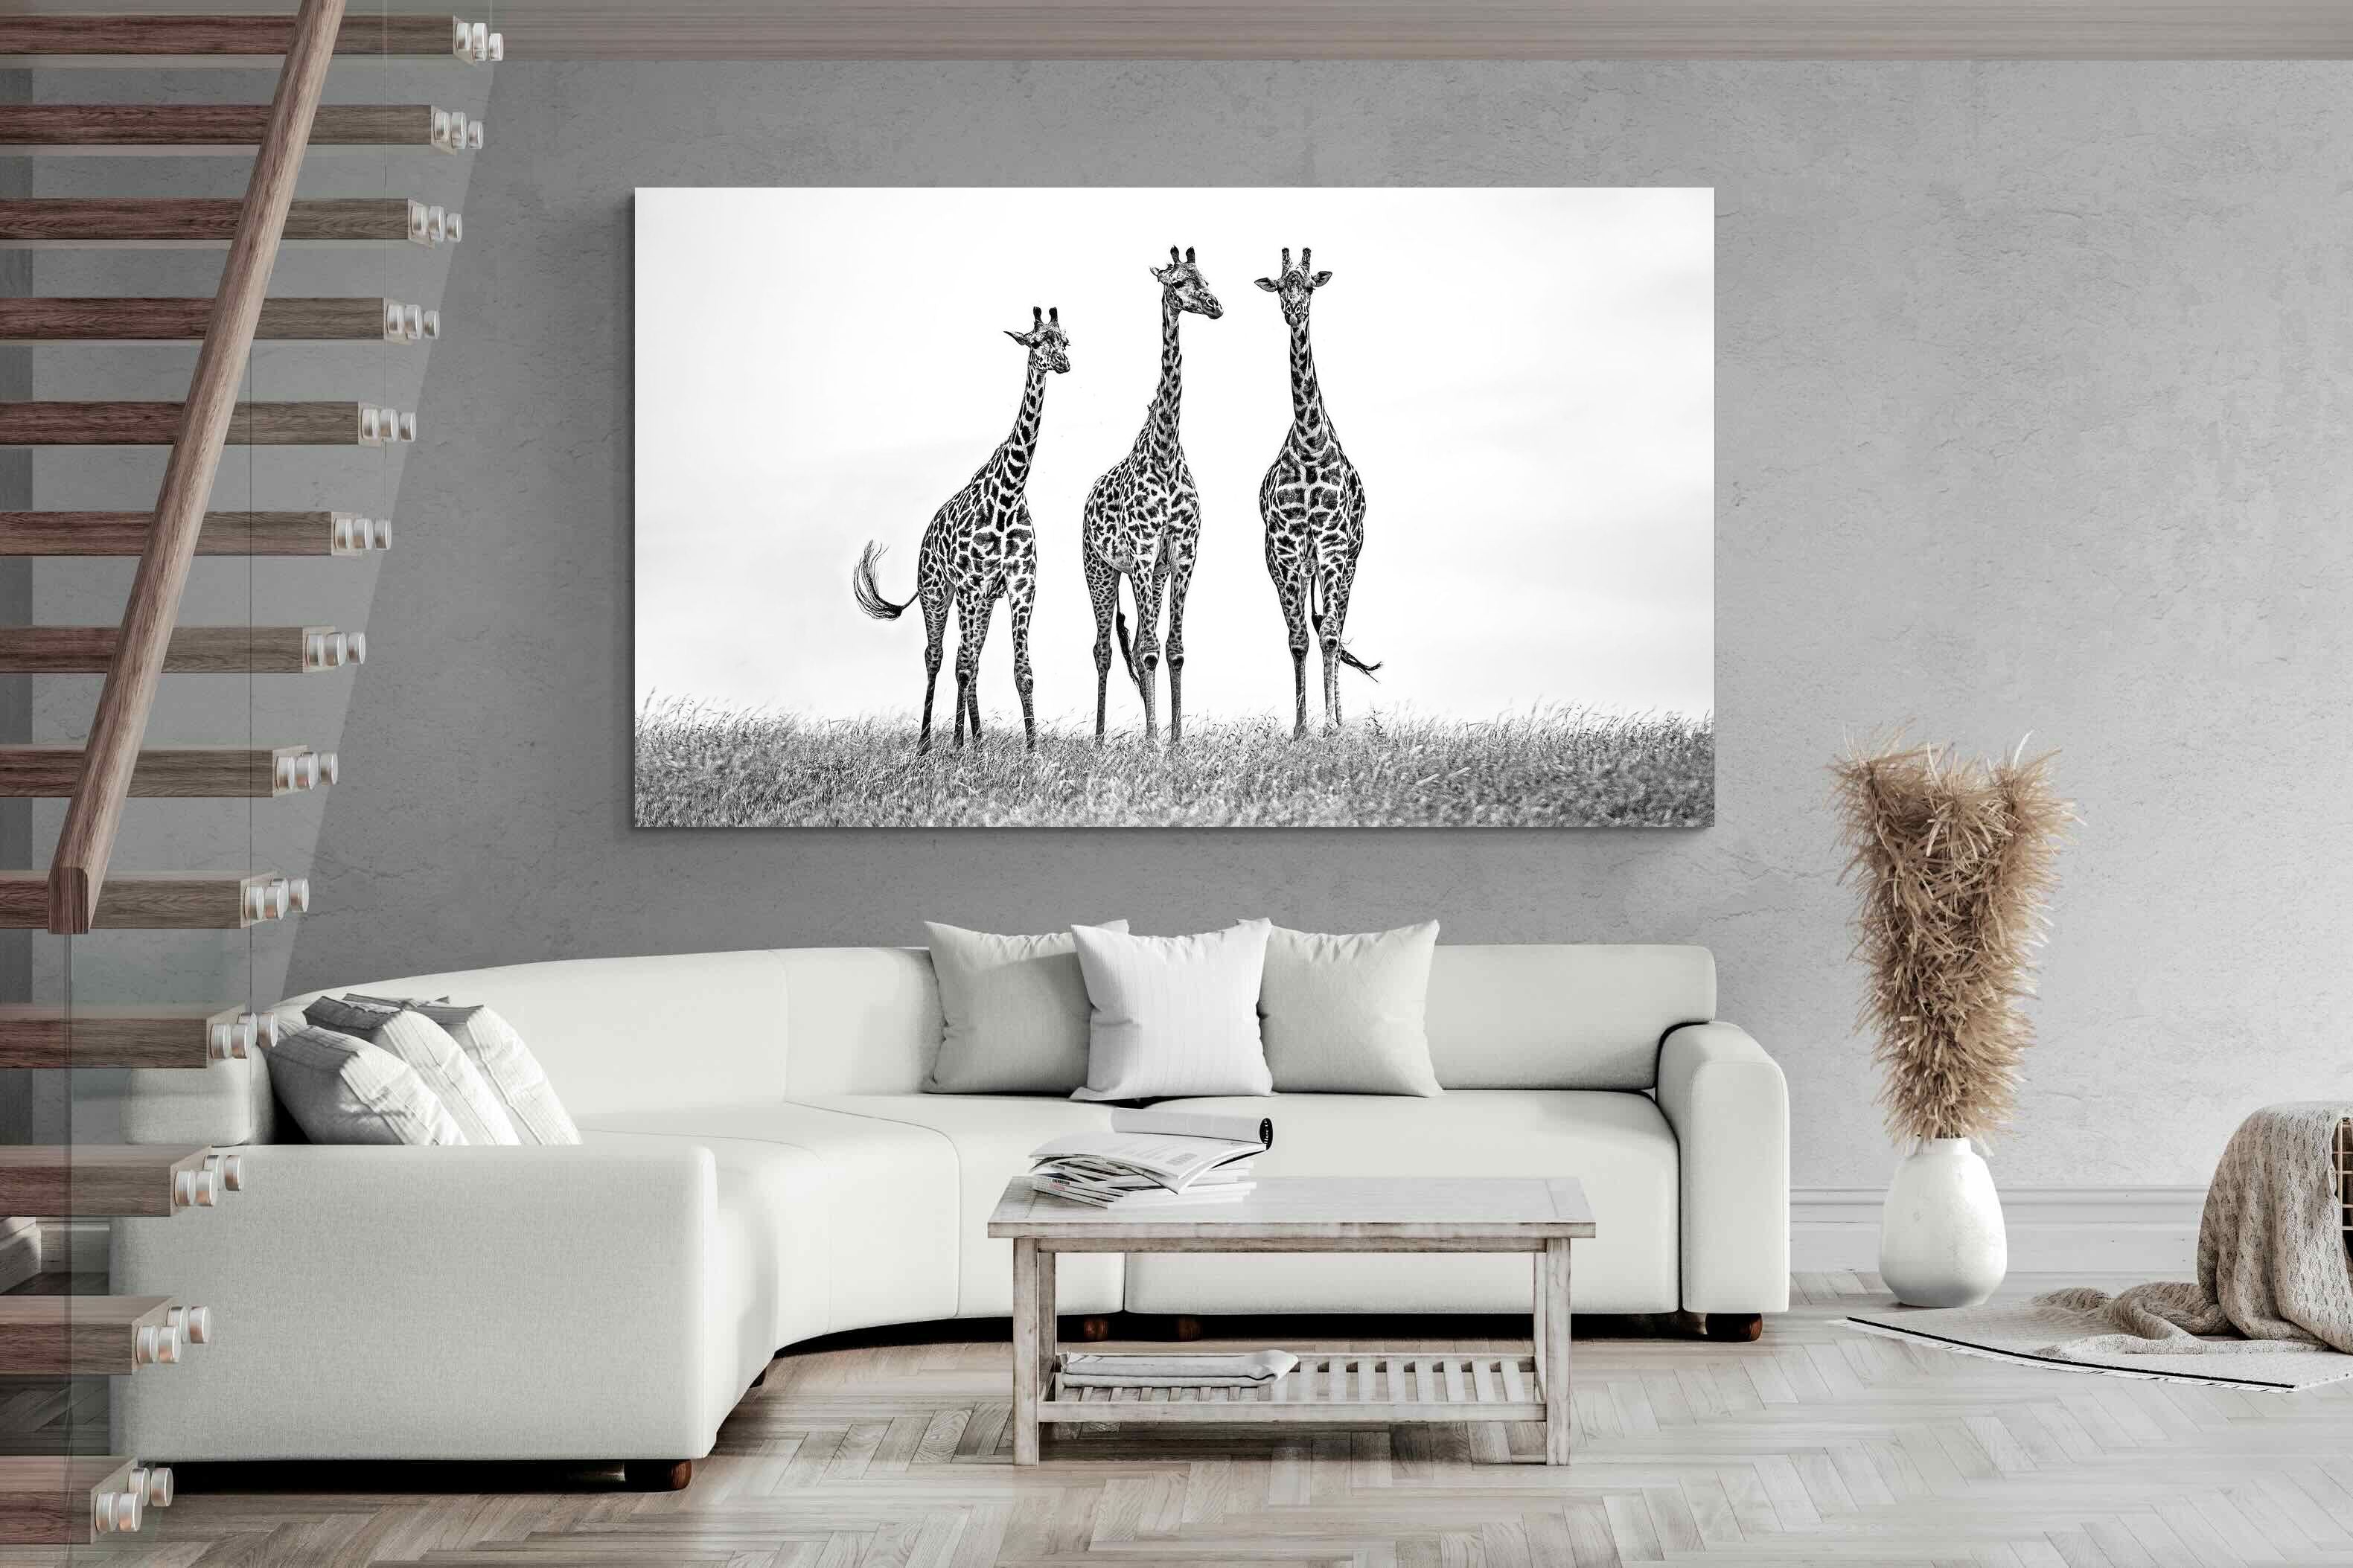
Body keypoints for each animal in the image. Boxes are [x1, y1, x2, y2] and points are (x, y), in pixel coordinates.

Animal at [852, 305, 1070, 754]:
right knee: (938, 657)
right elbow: (962, 665)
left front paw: (1033, 751)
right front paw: (955, 746)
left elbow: (1022, 670)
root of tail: (925, 537)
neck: (1009, 493)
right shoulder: (970, 585)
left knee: (970, 659)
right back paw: (927, 744)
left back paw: (978, 738)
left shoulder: (1020, 585)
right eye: (1038, 341)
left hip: (981, 602)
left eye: (1065, 340)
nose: (1063, 363)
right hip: (938, 594)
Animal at [1080, 245, 1223, 744]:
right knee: (1104, 647)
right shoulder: (1141, 554)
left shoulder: (1181, 554)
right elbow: (1145, 649)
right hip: (1101, 570)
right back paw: (1101, 737)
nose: (1215, 306)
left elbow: (1173, 647)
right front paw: (1153, 741)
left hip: (1152, 575)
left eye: (1205, 277)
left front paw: (1176, 738)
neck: (1164, 454)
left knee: (1143, 640)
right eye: (1178, 283)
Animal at [1256, 246, 1379, 738]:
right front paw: (1301, 728)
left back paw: (1340, 719)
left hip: (1349, 561)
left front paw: (1331, 727)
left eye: (1308, 286)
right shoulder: (1288, 552)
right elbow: (1298, 640)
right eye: (1279, 286)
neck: (1310, 445)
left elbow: (1328, 636)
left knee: (1335, 627)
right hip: (1294, 567)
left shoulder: (1333, 546)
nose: (1294, 311)